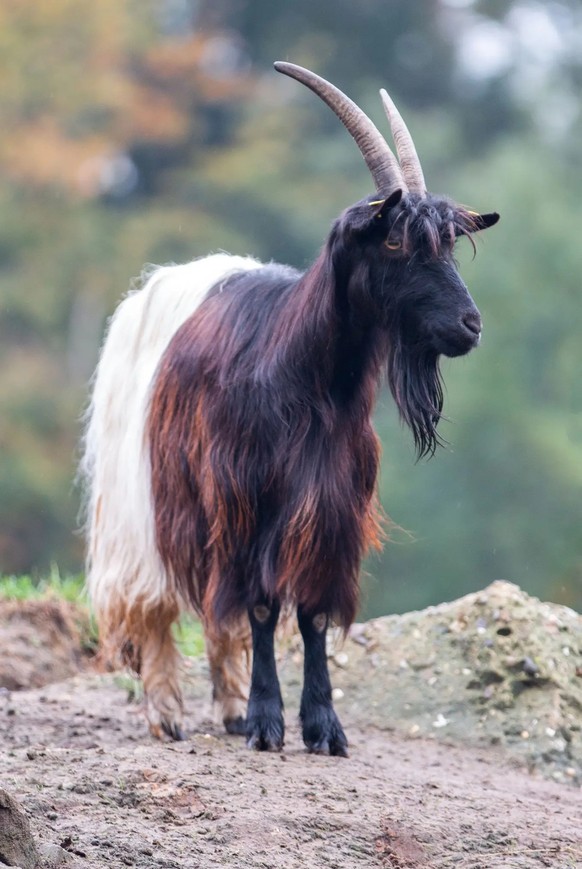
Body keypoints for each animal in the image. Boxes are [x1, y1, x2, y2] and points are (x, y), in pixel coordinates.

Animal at [81, 62, 502, 752]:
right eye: (394, 244)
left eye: (446, 244)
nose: (470, 326)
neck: (306, 382)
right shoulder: (246, 494)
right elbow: (259, 604)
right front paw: (267, 721)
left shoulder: (330, 504)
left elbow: (311, 612)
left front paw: (321, 724)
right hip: (140, 498)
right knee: (156, 602)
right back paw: (167, 713)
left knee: (215, 605)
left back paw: (227, 705)